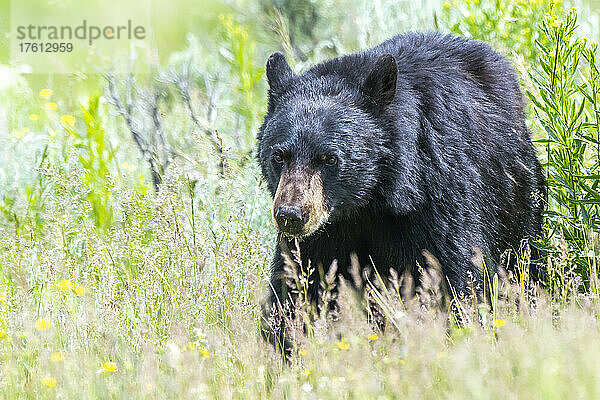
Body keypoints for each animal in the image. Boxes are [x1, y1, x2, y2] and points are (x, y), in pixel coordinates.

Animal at [255, 31, 548, 350]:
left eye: (330, 158)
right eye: (279, 155)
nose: (291, 215)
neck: (369, 201)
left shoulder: (440, 195)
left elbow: (456, 273)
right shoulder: (322, 233)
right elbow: (297, 284)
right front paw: (282, 345)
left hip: (515, 197)